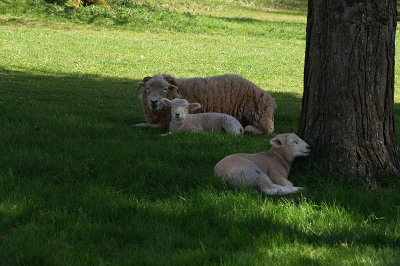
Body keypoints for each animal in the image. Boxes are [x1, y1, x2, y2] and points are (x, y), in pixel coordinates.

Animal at [136, 72, 276, 134]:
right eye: (147, 88)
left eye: (165, 88)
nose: (153, 102)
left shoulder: (166, 122)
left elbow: (150, 126)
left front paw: (139, 125)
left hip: (257, 113)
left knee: (268, 129)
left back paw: (250, 129)